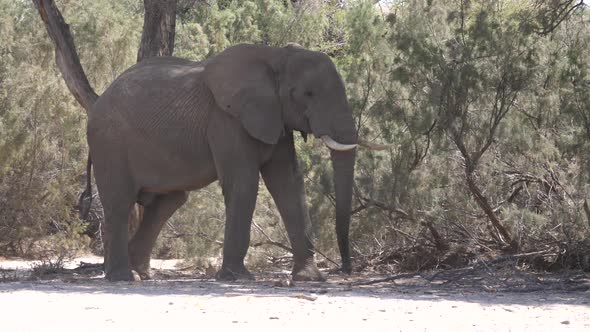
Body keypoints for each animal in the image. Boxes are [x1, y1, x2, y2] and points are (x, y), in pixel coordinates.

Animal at [83, 42, 360, 282]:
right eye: (307, 94)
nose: (345, 269)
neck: (274, 55)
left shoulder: (276, 119)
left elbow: (289, 184)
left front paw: (309, 277)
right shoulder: (226, 120)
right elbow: (243, 185)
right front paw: (237, 277)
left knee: (169, 201)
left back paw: (140, 274)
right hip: (109, 142)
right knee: (120, 202)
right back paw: (122, 277)